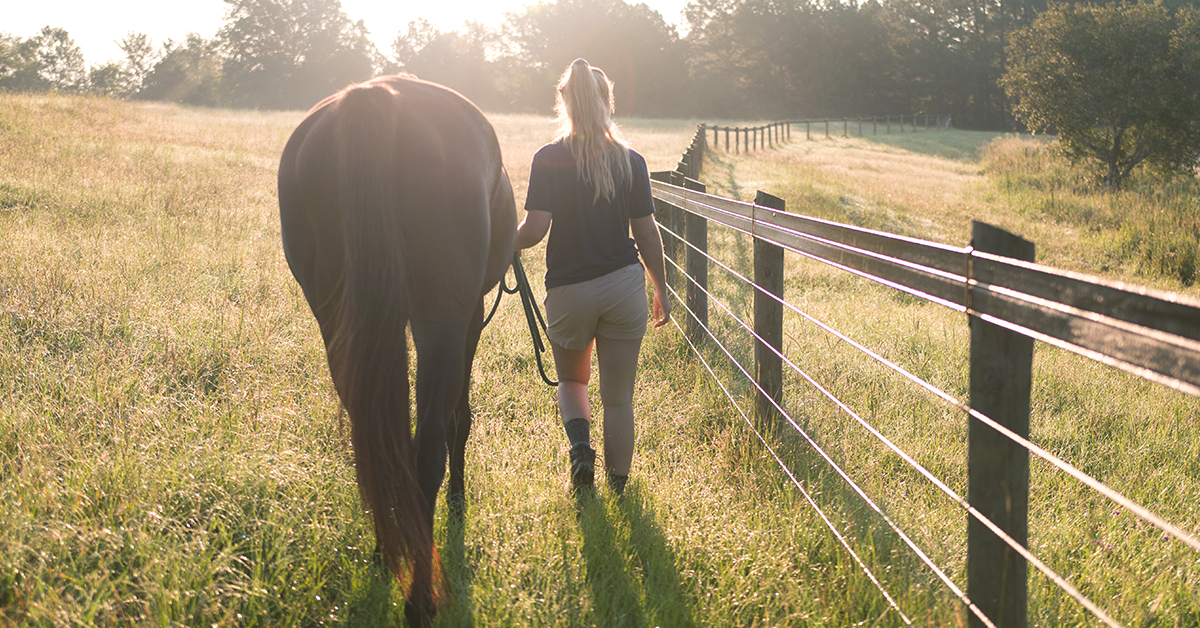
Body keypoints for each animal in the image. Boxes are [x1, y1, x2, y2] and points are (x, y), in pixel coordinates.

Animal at [277, 74, 517, 623]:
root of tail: (377, 100)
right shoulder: (467, 317)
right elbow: (458, 418)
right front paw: (458, 505)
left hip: (338, 319)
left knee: (378, 435)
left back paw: (388, 552)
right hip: (439, 321)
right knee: (426, 447)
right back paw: (421, 599)